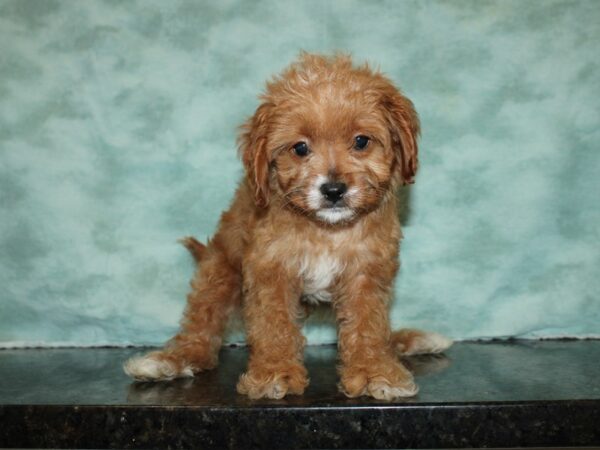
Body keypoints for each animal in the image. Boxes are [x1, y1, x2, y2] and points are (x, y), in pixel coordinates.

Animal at [123, 53, 450, 400]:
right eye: (300, 148)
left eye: (361, 141)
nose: (333, 190)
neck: (326, 231)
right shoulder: (270, 269)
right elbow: (274, 325)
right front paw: (274, 372)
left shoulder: (367, 272)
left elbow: (368, 325)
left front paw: (375, 371)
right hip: (218, 273)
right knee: (201, 329)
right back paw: (170, 360)